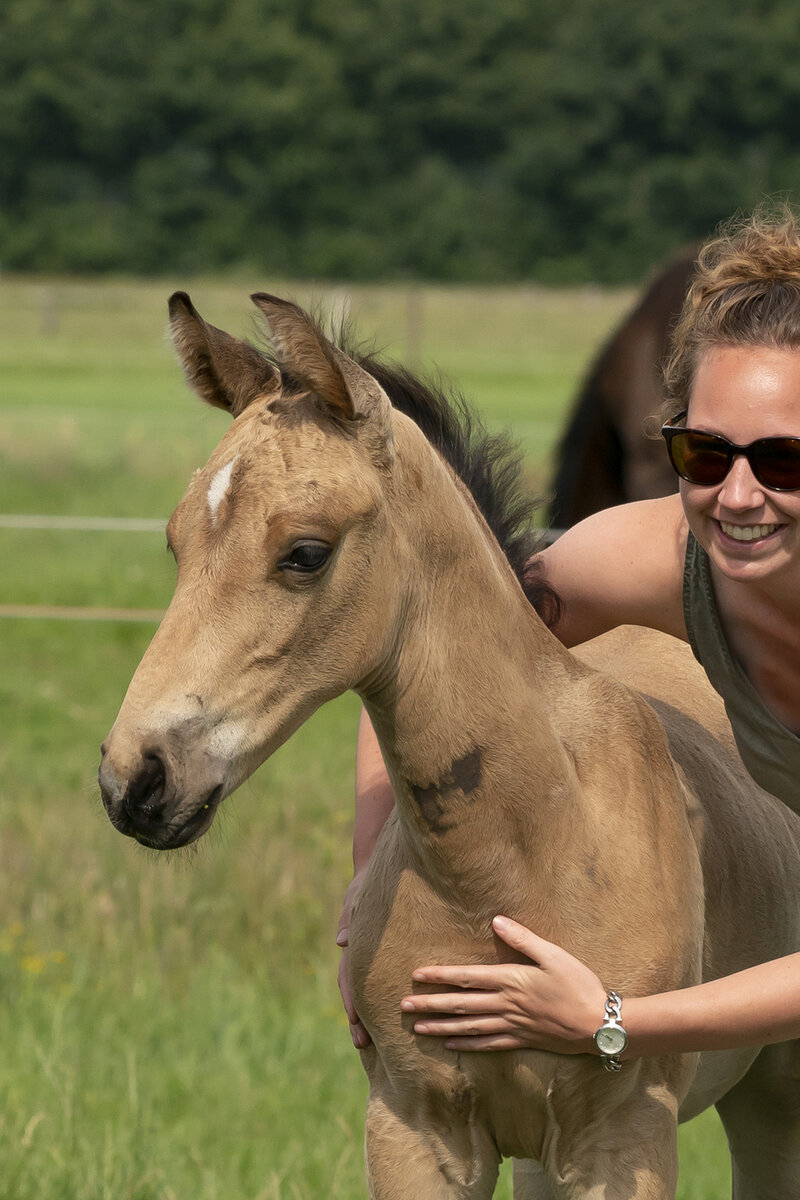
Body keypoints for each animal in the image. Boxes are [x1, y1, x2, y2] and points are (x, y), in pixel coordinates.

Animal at [98, 292, 800, 1198]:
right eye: (178, 543)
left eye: (305, 553)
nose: (136, 779)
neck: (512, 856)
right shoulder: (413, 1128)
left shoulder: (627, 1135)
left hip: (768, 1095)